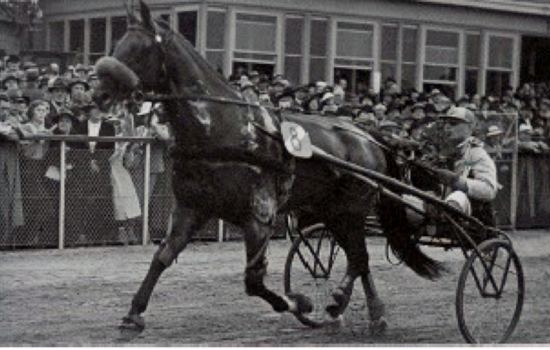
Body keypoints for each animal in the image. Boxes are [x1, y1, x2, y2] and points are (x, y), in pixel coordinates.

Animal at [95, 0, 446, 334]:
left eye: (139, 48)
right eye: (117, 43)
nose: (99, 93)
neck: (222, 126)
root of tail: (367, 135)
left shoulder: (259, 214)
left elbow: (253, 281)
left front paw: (300, 302)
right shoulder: (190, 207)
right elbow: (162, 257)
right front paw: (133, 313)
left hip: (352, 208)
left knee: (359, 257)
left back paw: (345, 303)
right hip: (332, 211)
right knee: (357, 257)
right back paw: (366, 311)